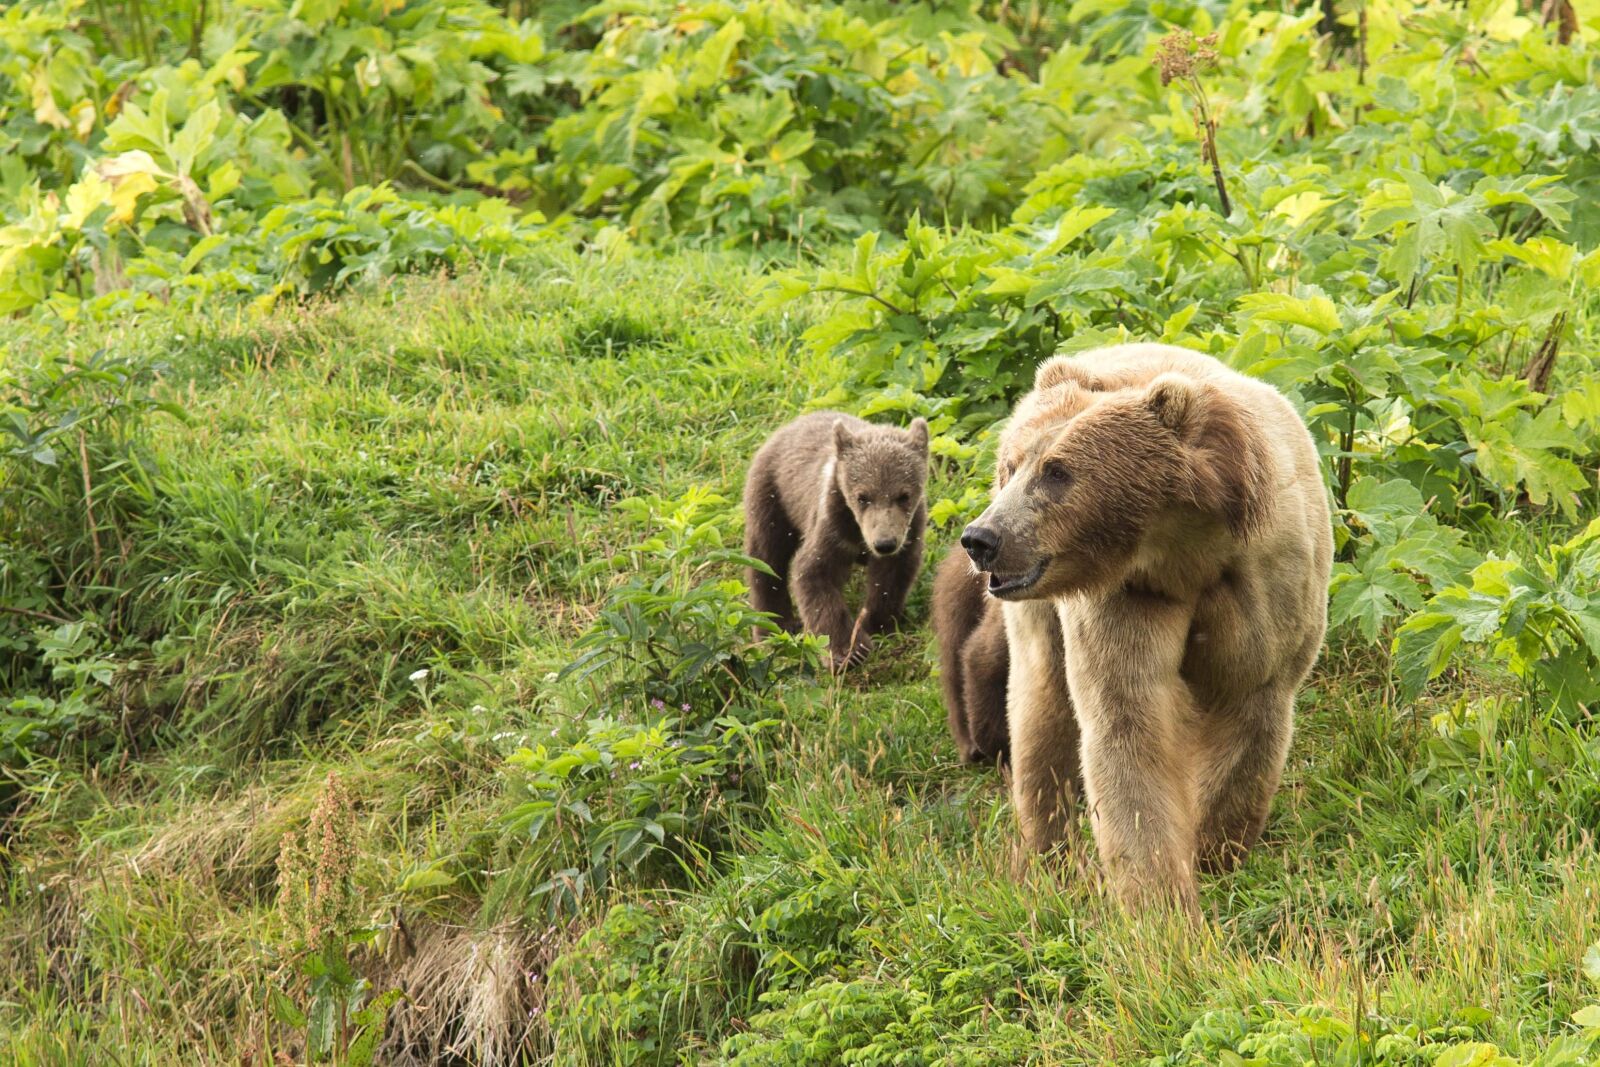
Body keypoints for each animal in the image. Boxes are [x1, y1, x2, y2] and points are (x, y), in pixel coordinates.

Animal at [744, 412, 930, 671]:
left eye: (904, 495)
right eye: (863, 497)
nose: (884, 543)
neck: (858, 535)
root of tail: (786, 427)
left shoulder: (909, 533)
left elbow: (891, 579)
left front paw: (877, 623)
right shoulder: (832, 528)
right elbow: (814, 574)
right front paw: (847, 652)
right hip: (772, 497)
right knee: (766, 558)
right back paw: (773, 626)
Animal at [959, 343, 1332, 919]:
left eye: (1057, 470)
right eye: (1013, 466)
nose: (982, 537)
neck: (1186, 550)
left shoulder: (1268, 585)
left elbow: (1249, 704)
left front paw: (1215, 851)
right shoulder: (1127, 598)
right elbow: (1128, 723)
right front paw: (1160, 899)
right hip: (1040, 613)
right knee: (1042, 705)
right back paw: (1047, 847)